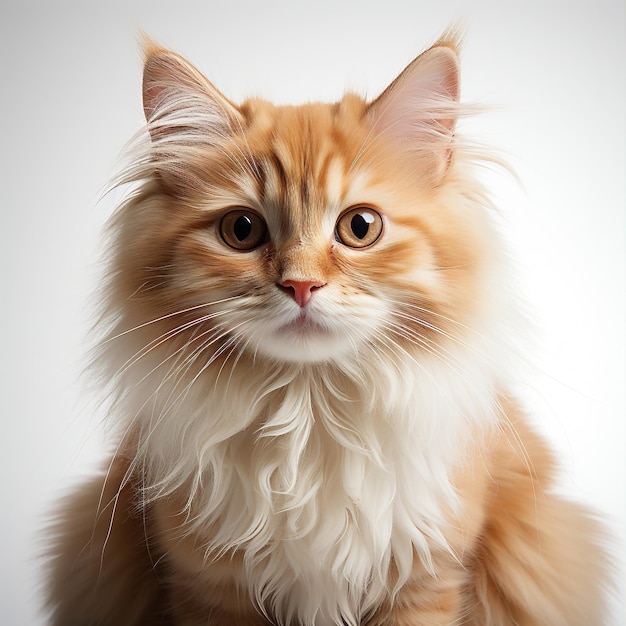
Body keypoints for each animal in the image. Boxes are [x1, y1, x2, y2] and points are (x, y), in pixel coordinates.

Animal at [45, 31, 608, 624]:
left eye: (360, 227)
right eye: (241, 230)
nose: (300, 285)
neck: (309, 414)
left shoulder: (425, 576)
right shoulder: (209, 584)